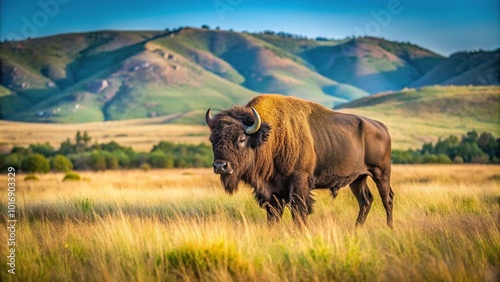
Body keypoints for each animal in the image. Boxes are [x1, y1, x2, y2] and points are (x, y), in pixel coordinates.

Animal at [205, 94, 392, 227]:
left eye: (241, 139)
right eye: (212, 140)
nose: (220, 166)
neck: (269, 138)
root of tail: (382, 126)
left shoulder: (299, 184)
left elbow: (299, 214)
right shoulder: (272, 192)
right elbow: (273, 217)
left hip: (380, 173)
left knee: (387, 198)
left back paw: (389, 227)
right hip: (358, 179)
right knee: (366, 201)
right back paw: (356, 229)